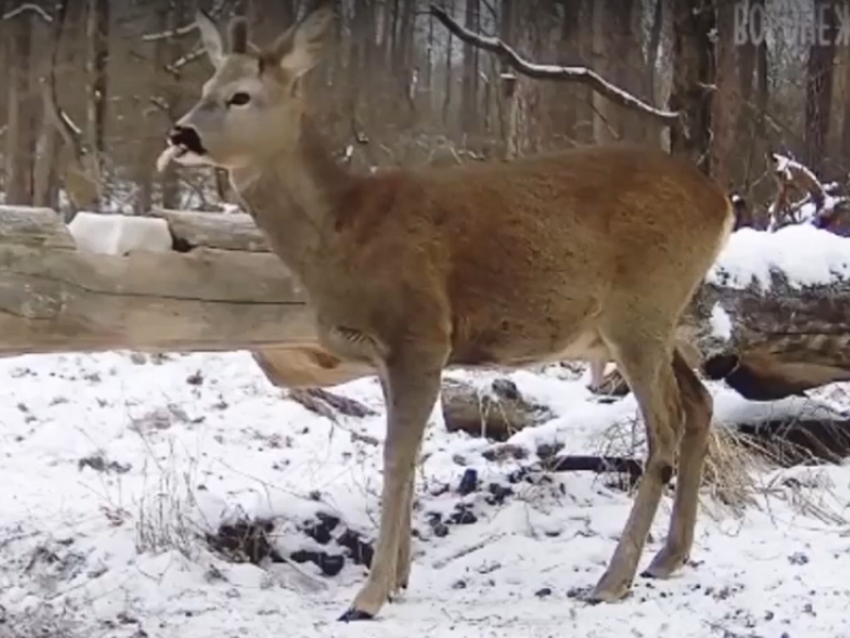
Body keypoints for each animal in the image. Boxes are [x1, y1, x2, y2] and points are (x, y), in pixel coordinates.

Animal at [157, 2, 736, 624]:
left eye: (240, 96)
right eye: (205, 87)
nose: (181, 133)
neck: (343, 231)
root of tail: (721, 203)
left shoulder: (420, 333)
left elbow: (395, 457)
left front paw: (367, 597)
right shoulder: (386, 356)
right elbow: (409, 457)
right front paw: (398, 579)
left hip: (641, 310)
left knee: (665, 429)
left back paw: (613, 579)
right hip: (656, 320)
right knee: (700, 403)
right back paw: (668, 558)